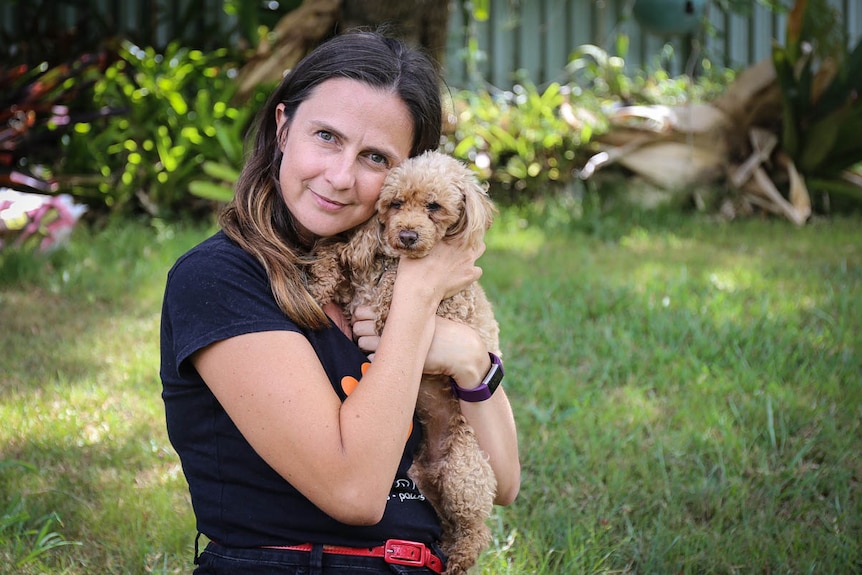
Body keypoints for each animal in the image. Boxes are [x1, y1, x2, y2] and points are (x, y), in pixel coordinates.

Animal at [308, 151, 500, 572]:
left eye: (434, 207)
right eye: (395, 204)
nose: (407, 236)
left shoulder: (448, 304)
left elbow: (393, 290)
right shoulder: (355, 290)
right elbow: (340, 260)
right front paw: (319, 278)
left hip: (465, 472)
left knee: (477, 529)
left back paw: (460, 556)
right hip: (423, 479)